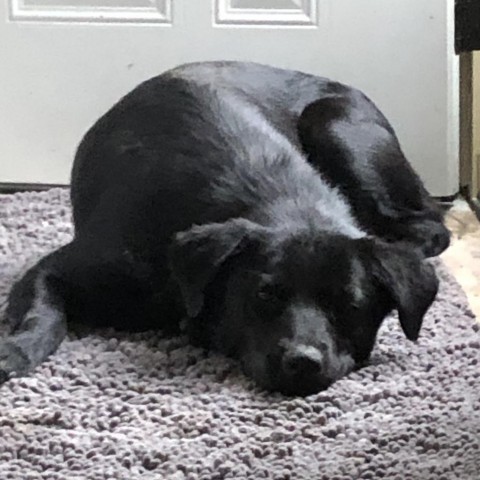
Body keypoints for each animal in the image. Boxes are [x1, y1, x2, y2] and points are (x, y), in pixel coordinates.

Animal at [0, 62, 450, 396]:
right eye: (264, 294)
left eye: (351, 304)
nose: (303, 362)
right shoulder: (56, 268)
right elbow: (44, 313)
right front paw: (17, 351)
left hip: (339, 132)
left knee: (431, 226)